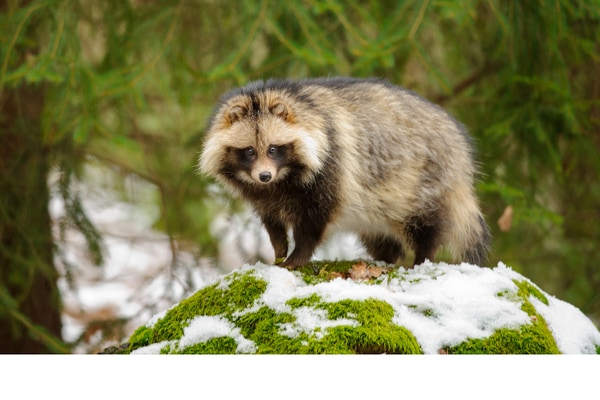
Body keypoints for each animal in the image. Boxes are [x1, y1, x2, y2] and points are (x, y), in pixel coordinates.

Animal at [199, 77, 490, 268]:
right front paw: (279, 250)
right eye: (249, 151)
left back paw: (422, 257)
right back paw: (385, 258)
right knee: (381, 236)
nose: (264, 176)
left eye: (273, 149)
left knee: (426, 223)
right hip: (381, 205)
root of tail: (459, 145)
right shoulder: (263, 194)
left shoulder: (332, 165)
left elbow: (315, 220)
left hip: (424, 179)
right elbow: (272, 222)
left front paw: (297, 255)